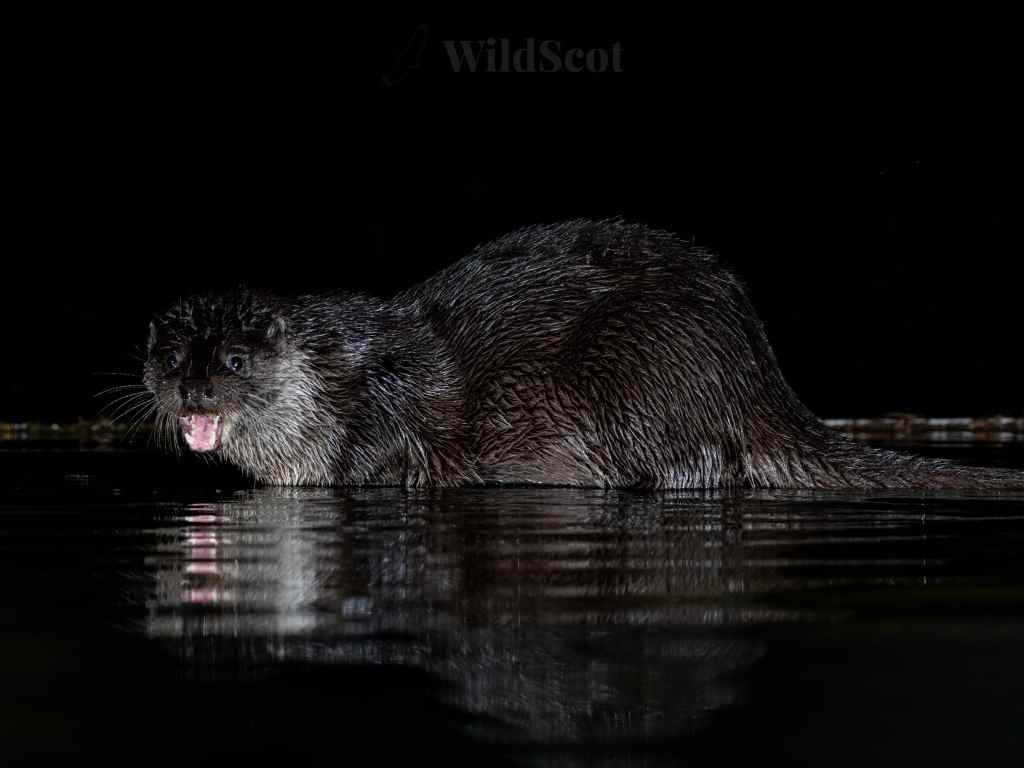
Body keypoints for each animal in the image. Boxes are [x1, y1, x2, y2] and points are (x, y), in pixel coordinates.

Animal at [143, 219, 1023, 489]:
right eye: (170, 358)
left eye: (233, 363)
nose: (193, 393)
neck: (336, 382)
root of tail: (756, 374)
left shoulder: (379, 425)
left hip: (646, 368)